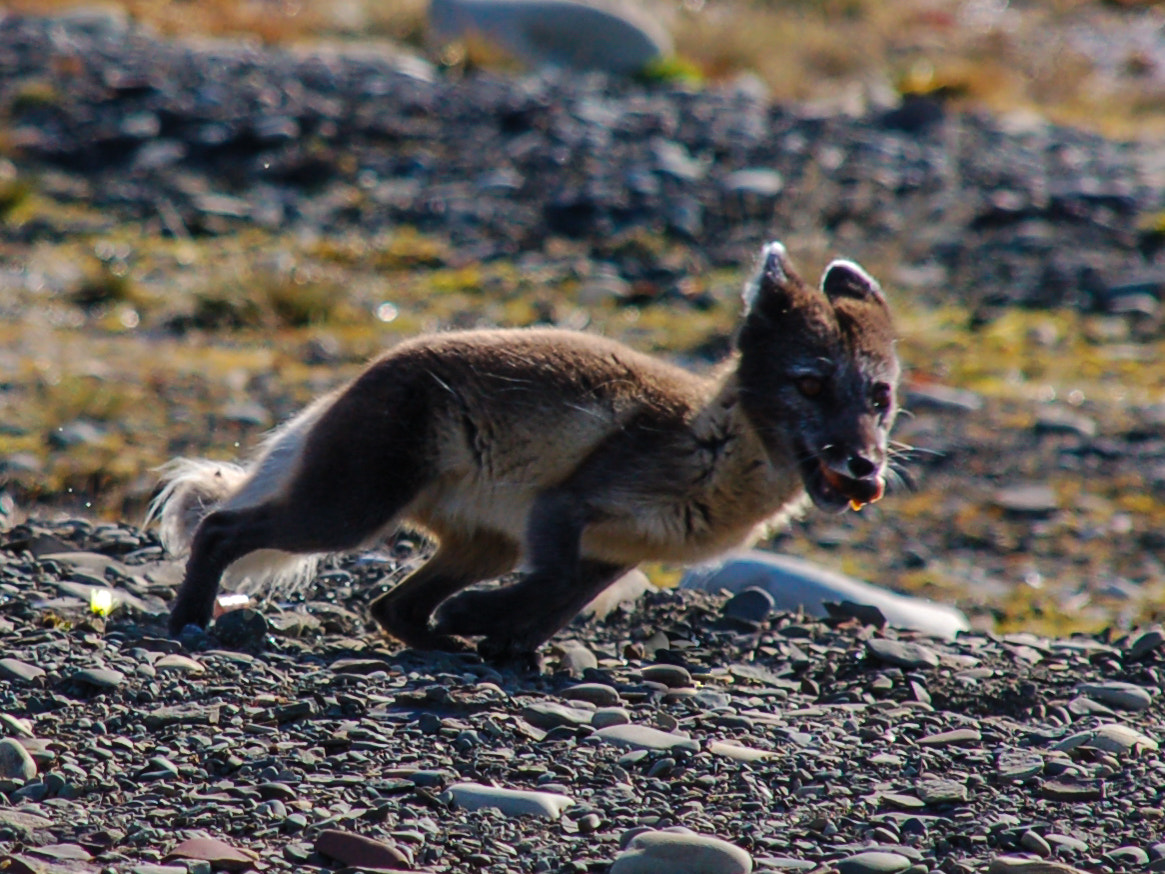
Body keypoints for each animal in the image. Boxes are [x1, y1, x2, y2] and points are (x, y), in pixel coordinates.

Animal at [150, 241, 900, 667]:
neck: (713, 447)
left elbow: (556, 603)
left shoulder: (617, 551)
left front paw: (502, 642)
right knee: (221, 527)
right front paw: (482, 624)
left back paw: (447, 644)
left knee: (392, 609)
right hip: (350, 512)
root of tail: (360, 376)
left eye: (879, 397)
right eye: (809, 383)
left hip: (485, 544)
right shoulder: (566, 506)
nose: (864, 466)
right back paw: (190, 619)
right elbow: (550, 584)